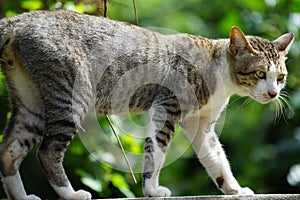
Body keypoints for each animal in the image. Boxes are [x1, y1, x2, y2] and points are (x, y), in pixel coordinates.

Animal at [0, 10, 294, 199]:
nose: (273, 93)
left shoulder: (201, 125)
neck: (217, 68)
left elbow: (217, 159)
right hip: (71, 94)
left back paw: (23, 197)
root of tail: (20, 20)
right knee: (47, 152)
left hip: (30, 102)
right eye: (259, 73)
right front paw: (152, 190)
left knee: (9, 150)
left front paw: (235, 190)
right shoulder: (167, 107)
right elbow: (158, 149)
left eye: (280, 77)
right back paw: (71, 194)